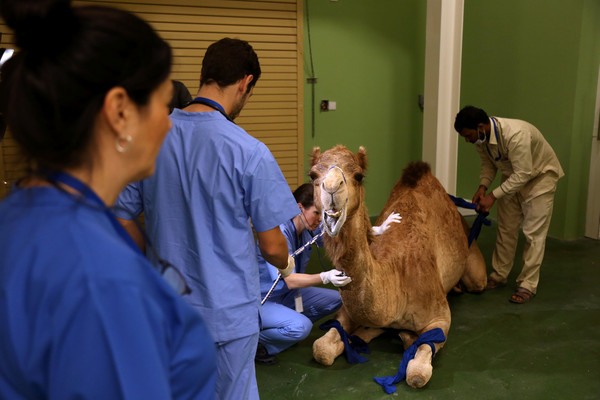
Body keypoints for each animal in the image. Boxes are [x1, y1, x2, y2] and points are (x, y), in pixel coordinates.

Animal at [310, 144, 488, 390]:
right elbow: (322, 349)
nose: (332, 188)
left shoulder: (440, 317)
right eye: (313, 175)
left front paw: (406, 339)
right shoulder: (349, 311)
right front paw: (368, 334)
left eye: (359, 176)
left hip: (475, 268)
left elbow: (417, 372)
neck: (395, 277)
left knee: (478, 281)